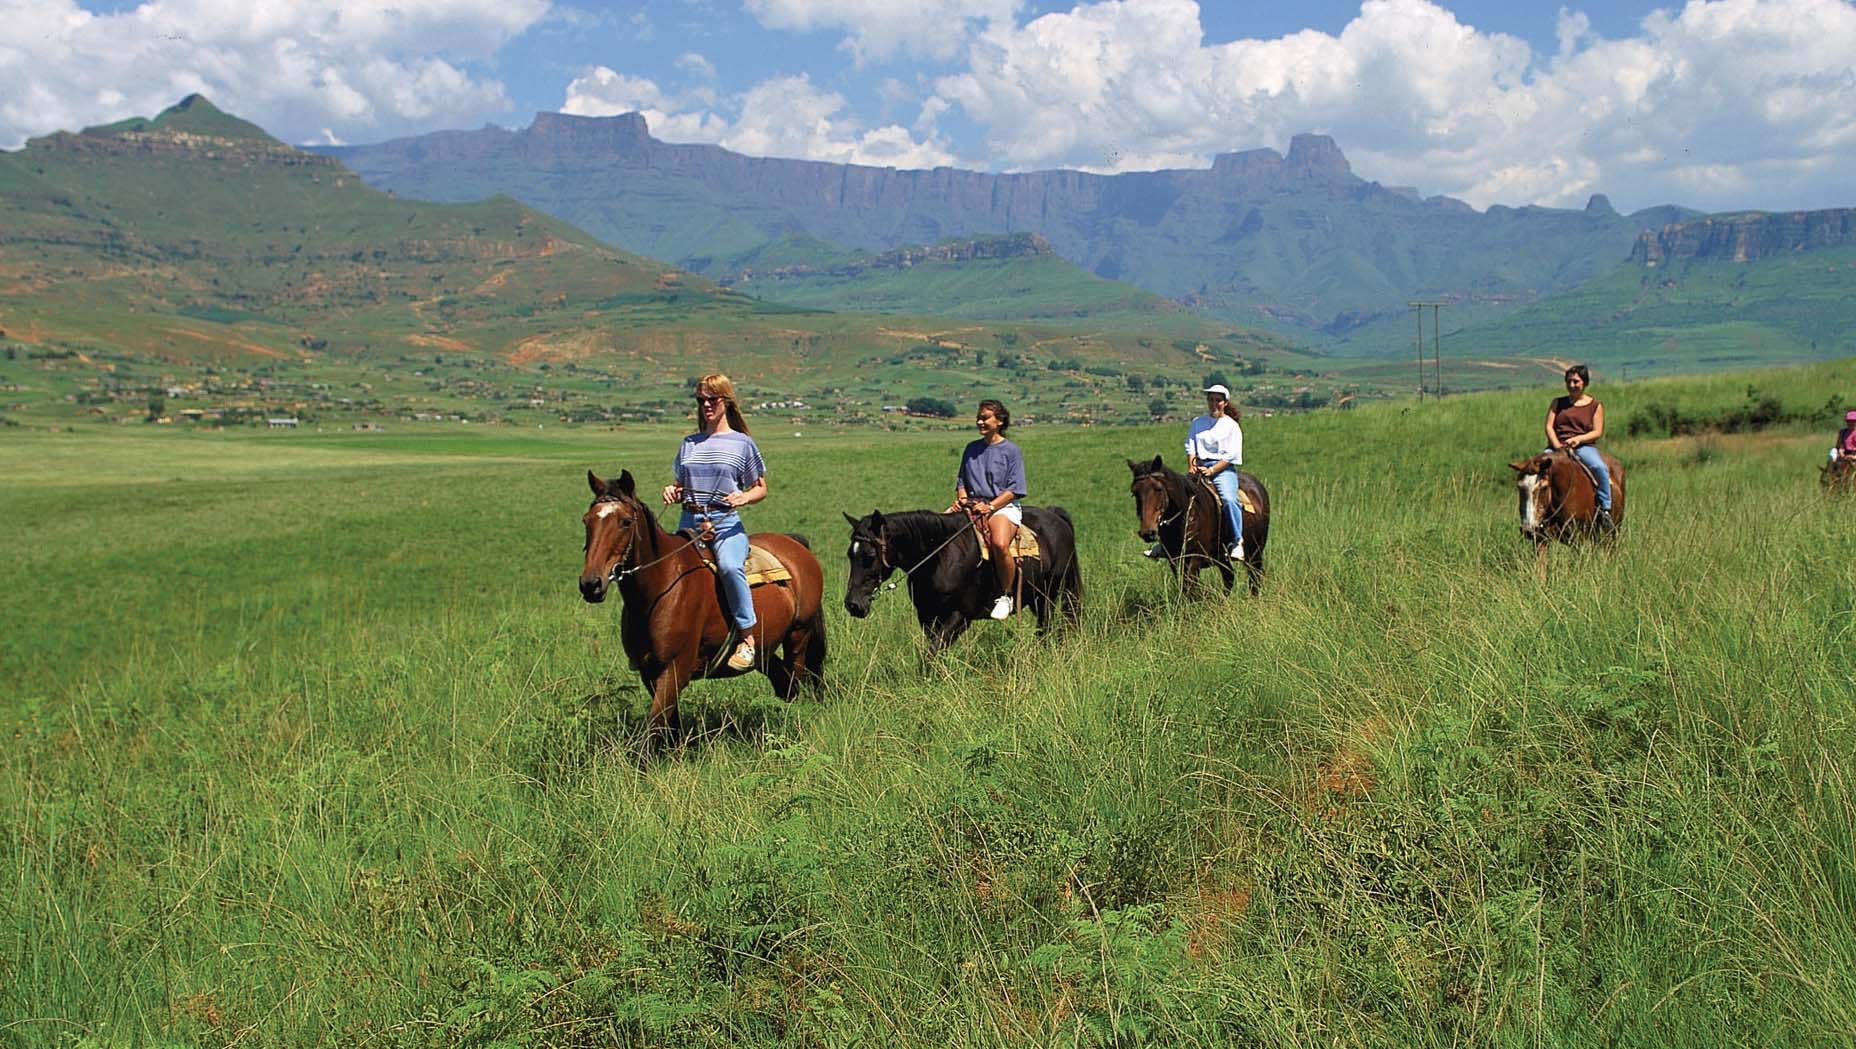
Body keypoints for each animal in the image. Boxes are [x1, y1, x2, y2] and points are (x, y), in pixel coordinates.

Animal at [578, 469, 827, 752]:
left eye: (626, 522)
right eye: (587, 521)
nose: (591, 584)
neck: (663, 585)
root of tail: (796, 545)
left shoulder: (676, 668)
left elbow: (652, 729)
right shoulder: (649, 672)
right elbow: (670, 727)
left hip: (798, 634)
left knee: (794, 682)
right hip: (765, 648)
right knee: (782, 680)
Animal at [841, 507, 1082, 654]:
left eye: (869, 555)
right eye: (850, 554)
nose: (853, 604)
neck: (940, 557)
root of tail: (1056, 516)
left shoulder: (961, 615)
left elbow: (933, 651)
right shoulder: (927, 616)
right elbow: (934, 650)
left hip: (1049, 595)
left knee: (1047, 627)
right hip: (1035, 598)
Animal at [1127, 455, 1270, 595]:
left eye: (1158, 489)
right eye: (1134, 493)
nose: (1147, 533)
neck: (1186, 515)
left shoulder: (1195, 558)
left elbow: (1190, 587)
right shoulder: (1174, 559)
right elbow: (1183, 588)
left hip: (1255, 552)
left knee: (1255, 578)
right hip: (1223, 558)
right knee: (1229, 577)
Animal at [1508, 448, 1627, 578]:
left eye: (1544, 488)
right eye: (1520, 487)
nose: (1528, 530)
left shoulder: (1578, 538)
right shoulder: (1540, 538)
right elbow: (1541, 569)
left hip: (1613, 529)